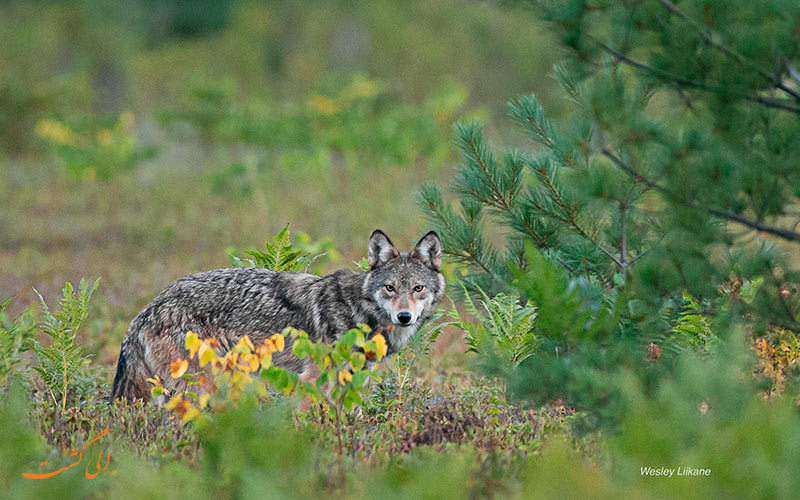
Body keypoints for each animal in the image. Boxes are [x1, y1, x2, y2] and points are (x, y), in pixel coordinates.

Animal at [110, 229, 446, 400]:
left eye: (417, 288)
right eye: (390, 288)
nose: (404, 317)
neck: (359, 312)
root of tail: (144, 312)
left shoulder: (351, 381)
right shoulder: (313, 380)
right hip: (202, 384)